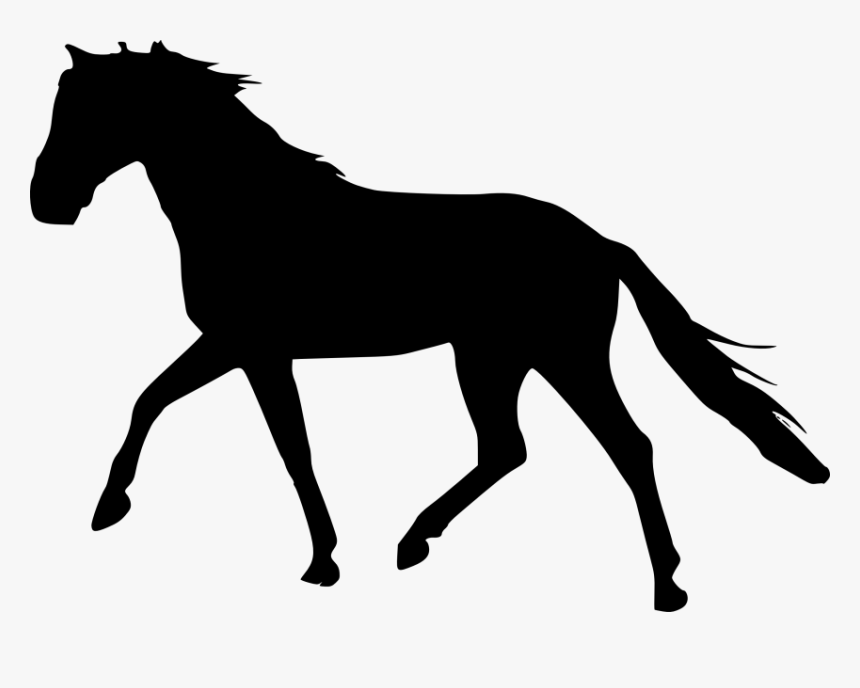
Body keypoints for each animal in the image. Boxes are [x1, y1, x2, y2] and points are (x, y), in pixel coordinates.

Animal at [30, 42, 830, 612]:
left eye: (93, 110)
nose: (46, 202)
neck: (253, 213)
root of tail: (598, 241)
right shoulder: (238, 348)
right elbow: (156, 401)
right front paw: (111, 508)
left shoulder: (251, 348)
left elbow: (283, 447)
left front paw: (319, 562)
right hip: (495, 358)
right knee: (509, 449)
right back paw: (416, 541)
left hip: (557, 356)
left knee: (624, 446)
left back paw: (666, 588)